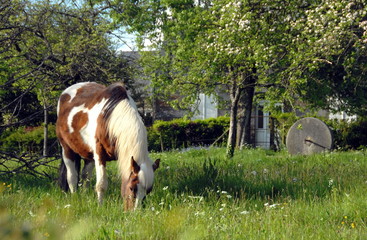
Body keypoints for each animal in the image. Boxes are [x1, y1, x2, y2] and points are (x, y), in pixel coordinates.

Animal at [56, 82, 160, 210]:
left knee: (86, 176)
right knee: (72, 177)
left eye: (148, 191)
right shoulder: (99, 154)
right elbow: (101, 184)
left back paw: (85, 197)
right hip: (67, 150)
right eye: (132, 188)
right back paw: (75, 198)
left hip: (88, 155)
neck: (109, 120)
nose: (135, 212)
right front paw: (100, 207)